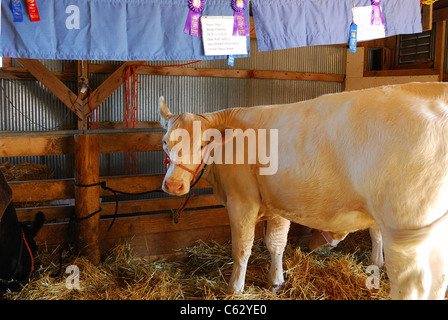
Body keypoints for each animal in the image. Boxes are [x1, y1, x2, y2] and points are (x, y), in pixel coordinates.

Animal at [159, 83, 448, 300]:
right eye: (165, 142)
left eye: (203, 144)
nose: (173, 185)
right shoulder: (277, 202)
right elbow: (275, 244)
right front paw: (276, 282)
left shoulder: (241, 201)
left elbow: (241, 249)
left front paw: (234, 289)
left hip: (406, 229)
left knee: (415, 284)